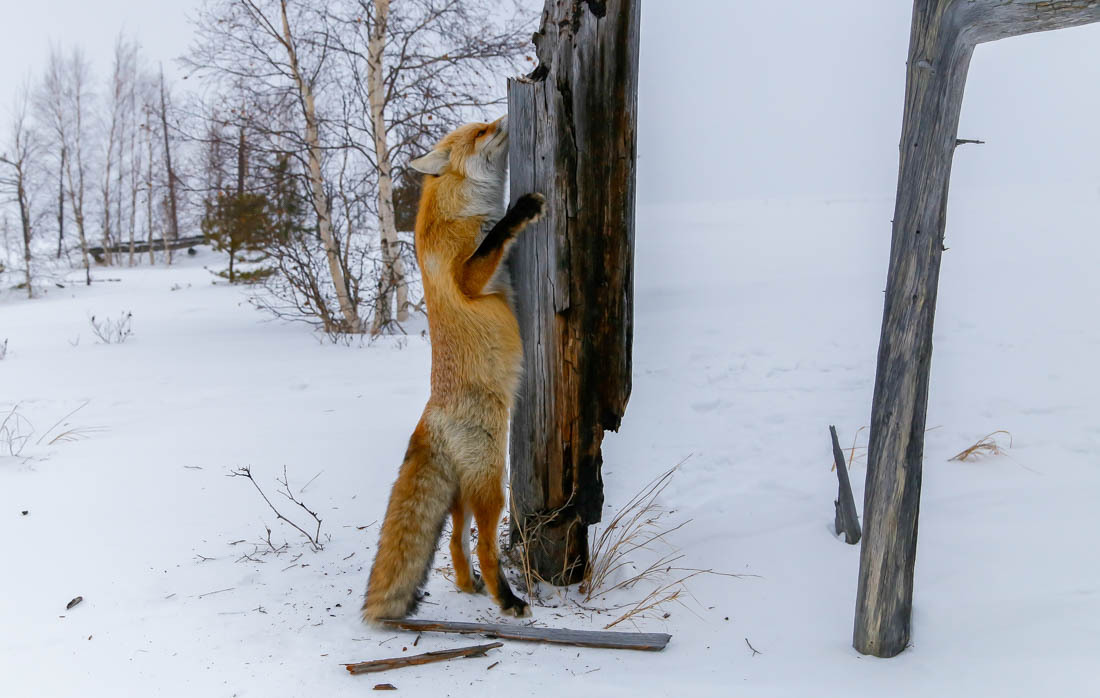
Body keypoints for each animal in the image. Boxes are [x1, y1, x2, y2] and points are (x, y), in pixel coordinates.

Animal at [363, 114, 547, 624]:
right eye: (482, 131)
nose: (502, 116)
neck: (460, 211)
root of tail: (431, 417)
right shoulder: (464, 276)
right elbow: (491, 241)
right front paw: (519, 210)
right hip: (492, 483)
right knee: (483, 546)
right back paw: (506, 599)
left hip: (466, 492)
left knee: (453, 542)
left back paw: (470, 586)